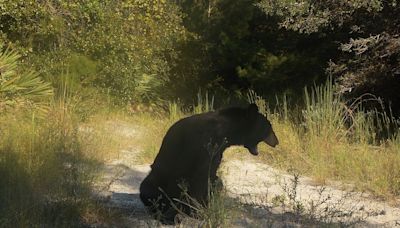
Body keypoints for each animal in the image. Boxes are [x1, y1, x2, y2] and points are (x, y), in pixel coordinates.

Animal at [140, 103, 278, 223]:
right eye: (269, 127)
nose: (277, 142)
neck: (228, 129)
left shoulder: (218, 149)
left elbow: (212, 176)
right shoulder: (206, 143)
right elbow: (201, 176)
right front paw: (197, 212)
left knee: (218, 182)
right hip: (155, 181)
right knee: (149, 190)